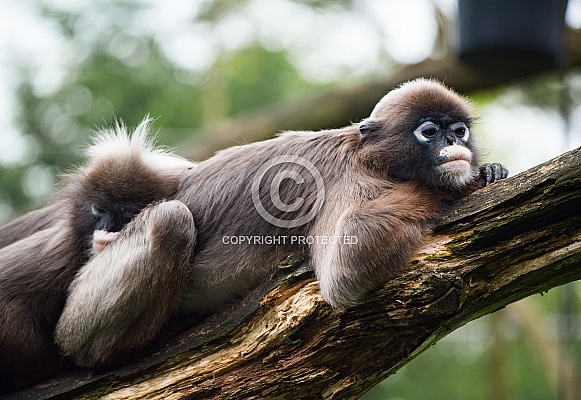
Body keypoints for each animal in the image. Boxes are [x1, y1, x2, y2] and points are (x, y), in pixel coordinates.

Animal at [54, 78, 506, 368]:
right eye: (430, 131)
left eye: (459, 130)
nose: (454, 142)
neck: (371, 158)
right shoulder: (344, 180)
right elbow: (346, 267)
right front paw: (467, 184)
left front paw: (489, 171)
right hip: (80, 312)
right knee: (170, 219)